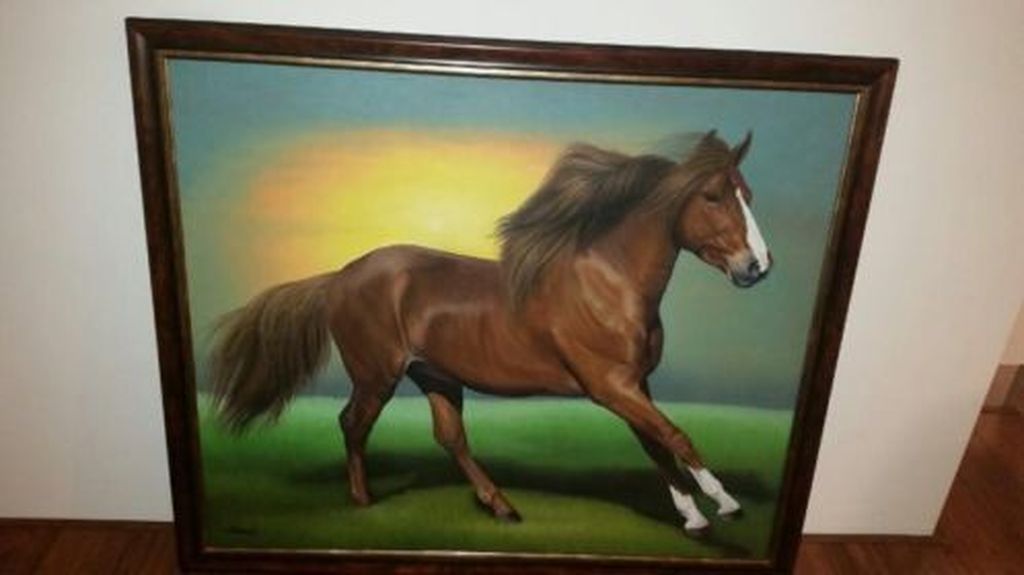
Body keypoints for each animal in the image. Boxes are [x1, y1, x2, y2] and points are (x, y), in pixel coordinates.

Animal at [209, 129, 772, 533]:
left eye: (747, 195)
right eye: (713, 196)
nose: (758, 267)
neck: (607, 282)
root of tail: (341, 276)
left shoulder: (634, 385)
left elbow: (657, 444)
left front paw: (692, 516)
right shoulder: (611, 386)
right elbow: (675, 435)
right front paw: (724, 503)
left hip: (435, 375)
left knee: (450, 438)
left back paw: (501, 505)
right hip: (376, 375)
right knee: (353, 424)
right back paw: (364, 500)